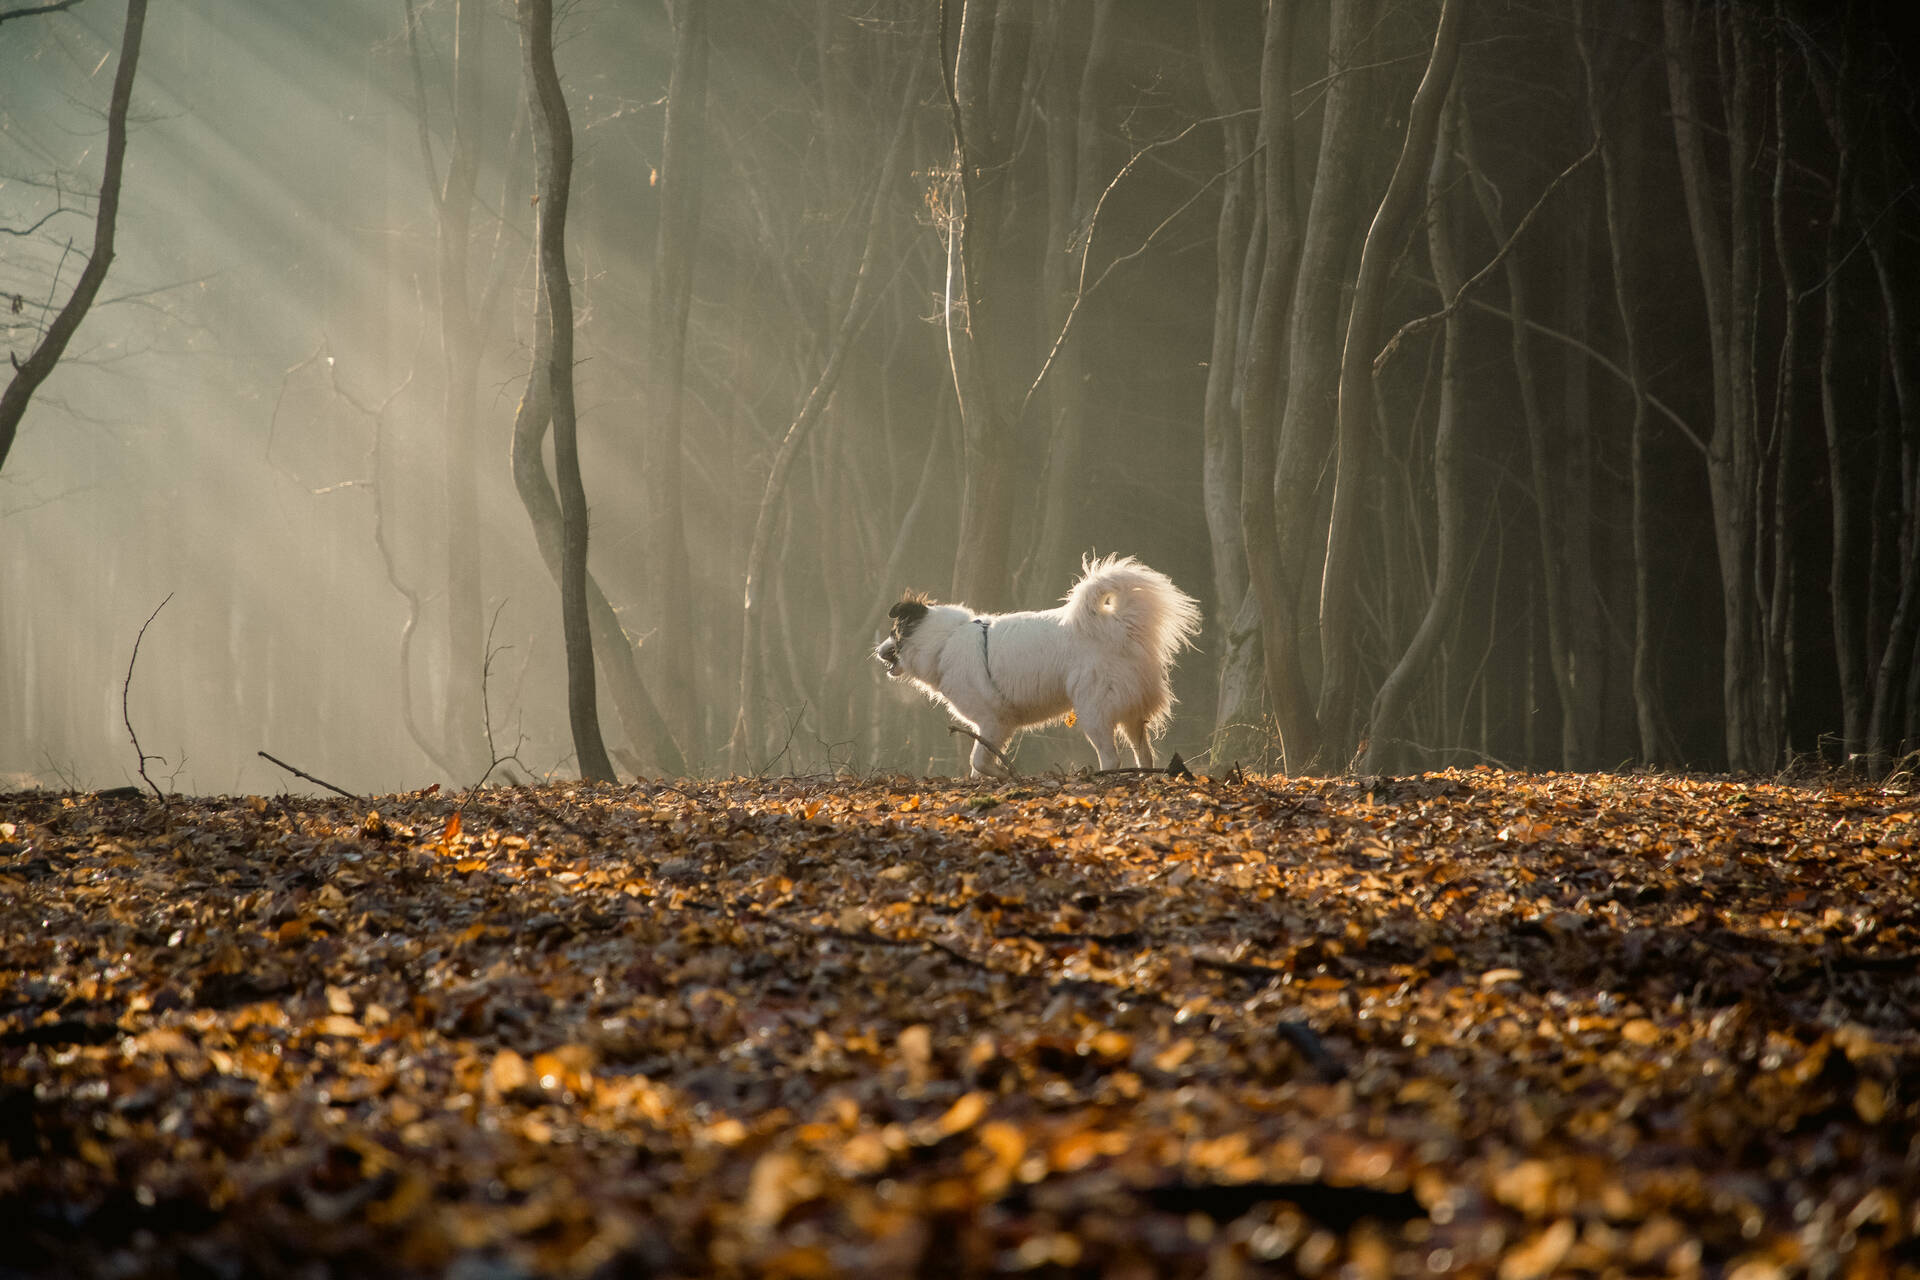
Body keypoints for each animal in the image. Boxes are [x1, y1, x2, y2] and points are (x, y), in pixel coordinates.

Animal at [875, 552, 1198, 775]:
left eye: (892, 632)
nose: (877, 651)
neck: (944, 640)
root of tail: (1119, 627)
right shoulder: (993, 727)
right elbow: (977, 765)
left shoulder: (994, 722)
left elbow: (978, 761)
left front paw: (1004, 774)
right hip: (1131, 715)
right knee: (1144, 754)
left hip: (1093, 711)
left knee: (1111, 757)